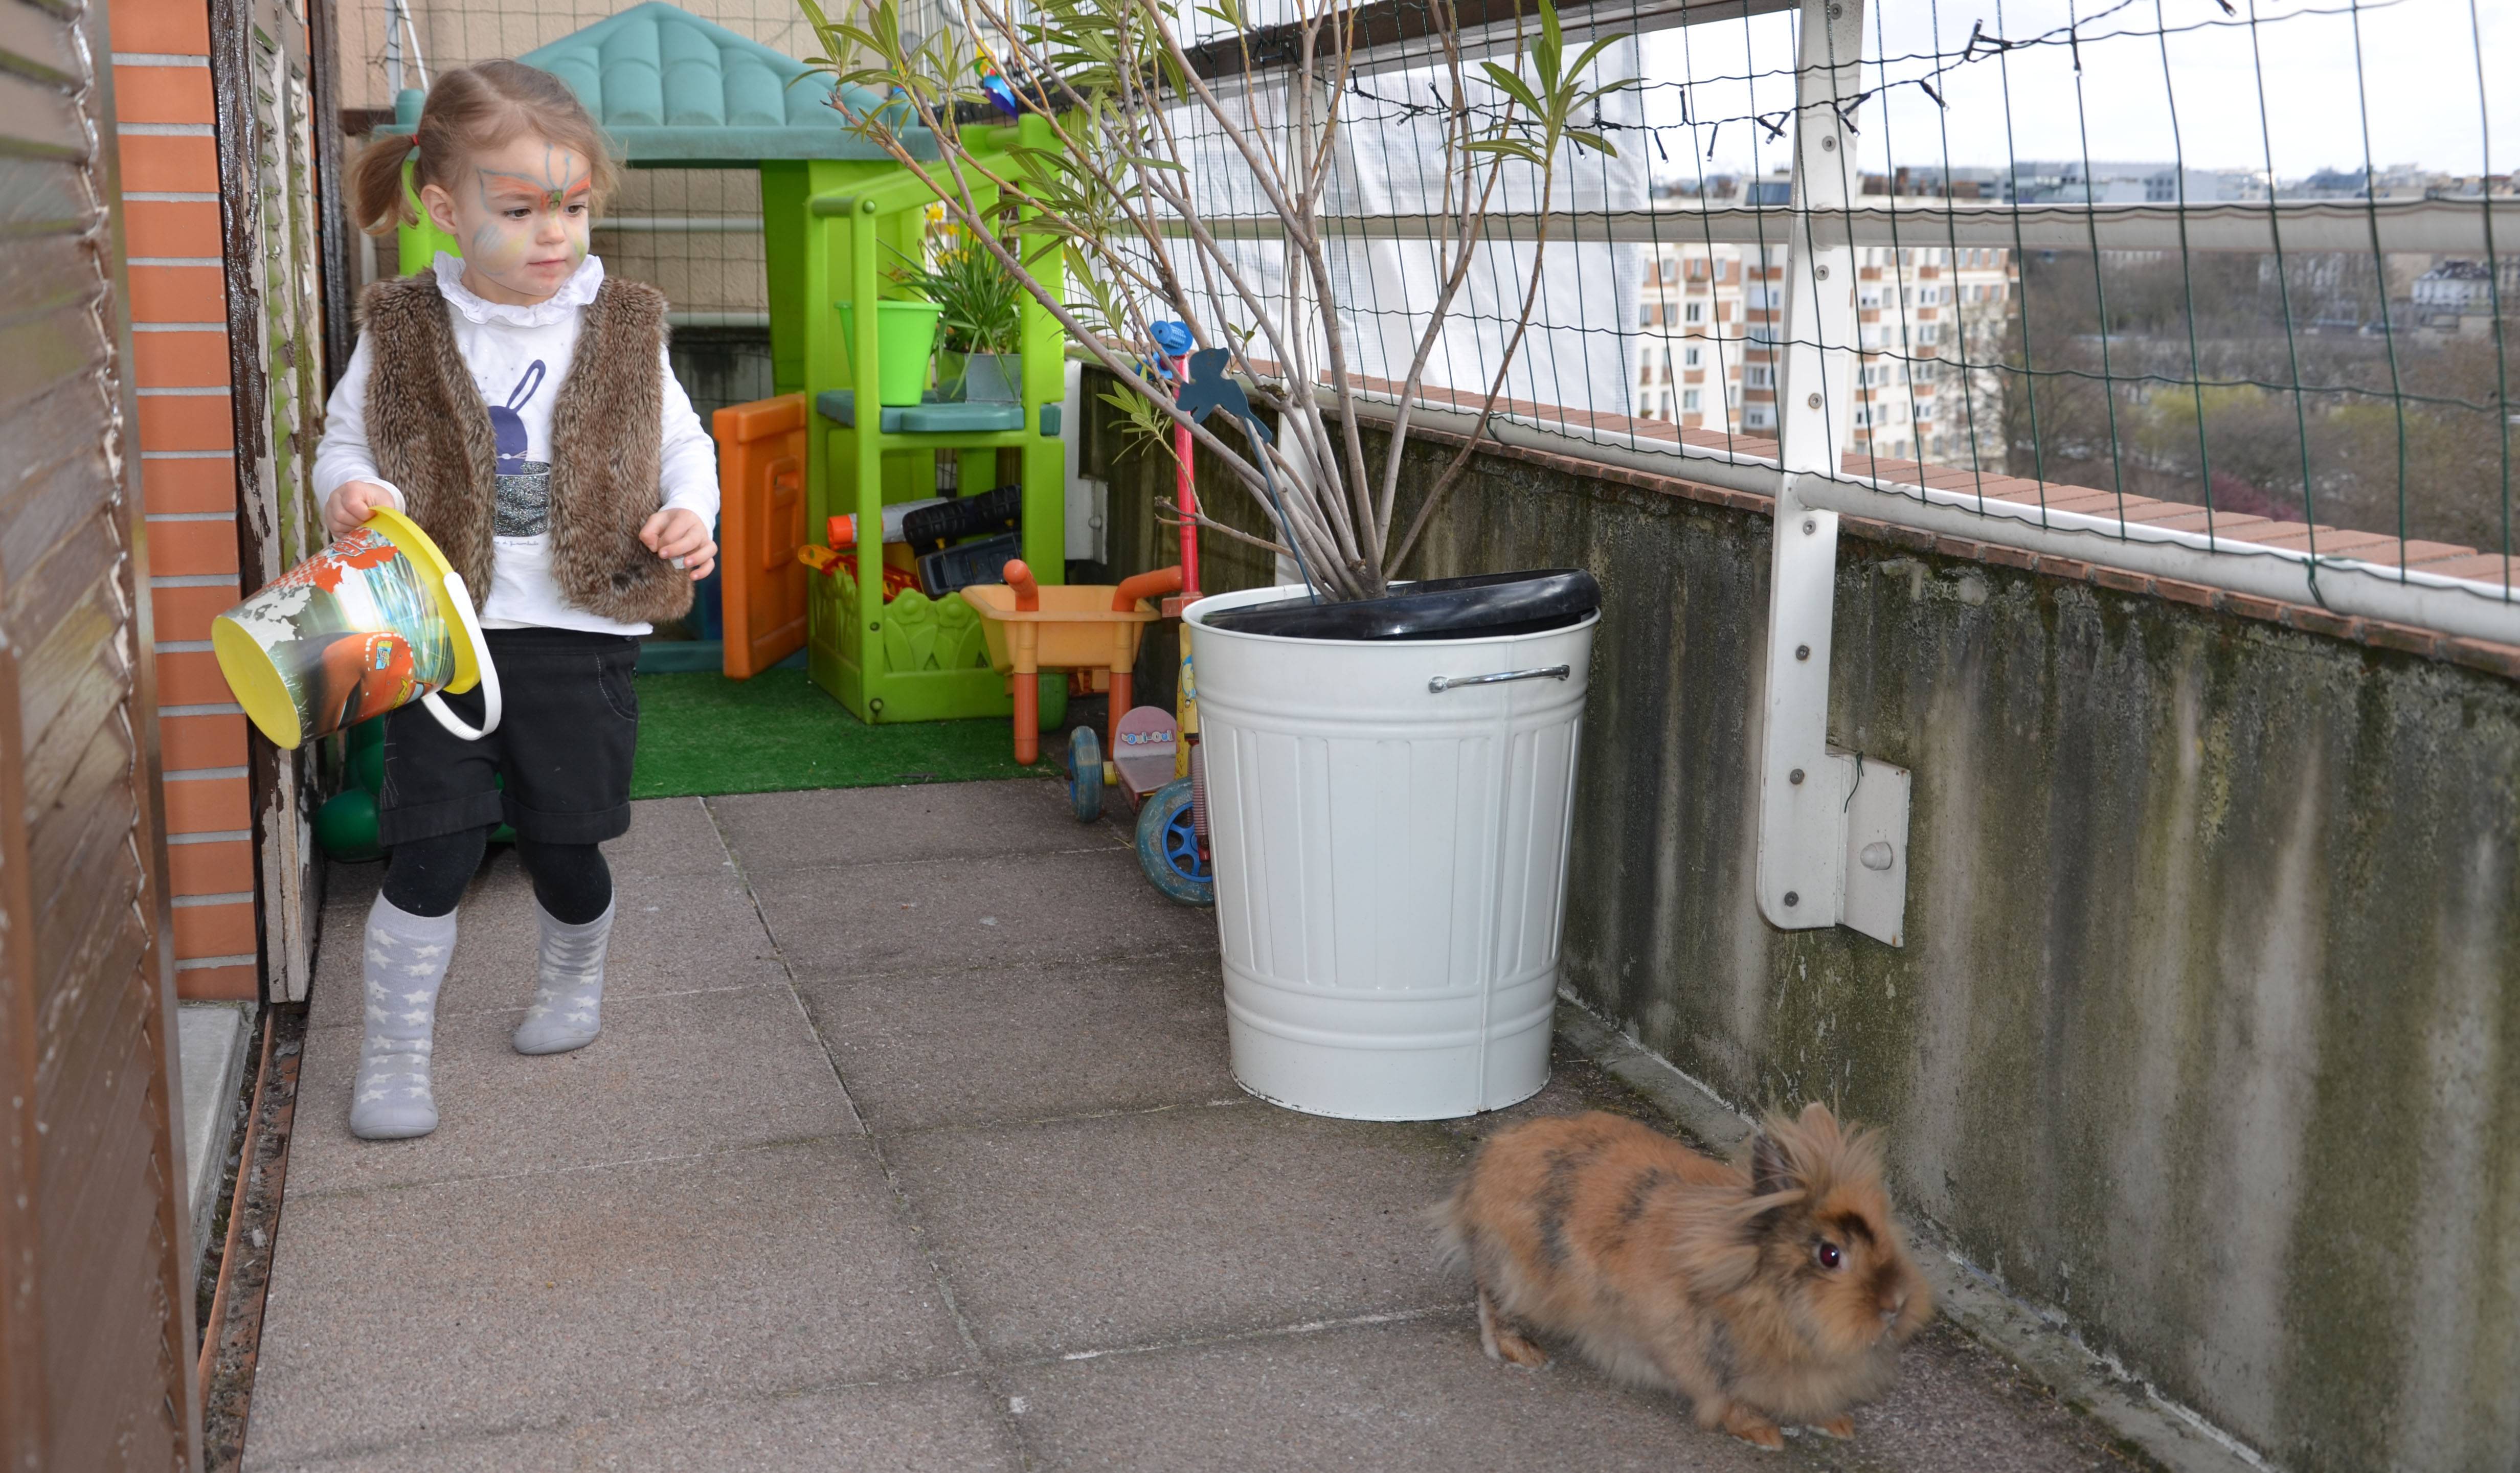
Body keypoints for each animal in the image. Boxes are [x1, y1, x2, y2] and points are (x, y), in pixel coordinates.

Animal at [1441, 1103, 1925, 1450]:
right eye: (1830, 1255)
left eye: (1887, 1231)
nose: (1896, 1304)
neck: (1758, 1291)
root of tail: (1485, 1165)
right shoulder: (1695, 1356)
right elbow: (1725, 1400)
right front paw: (1763, 1434)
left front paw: (1837, 1424)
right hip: (1518, 1276)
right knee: (1491, 1299)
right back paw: (1525, 1352)